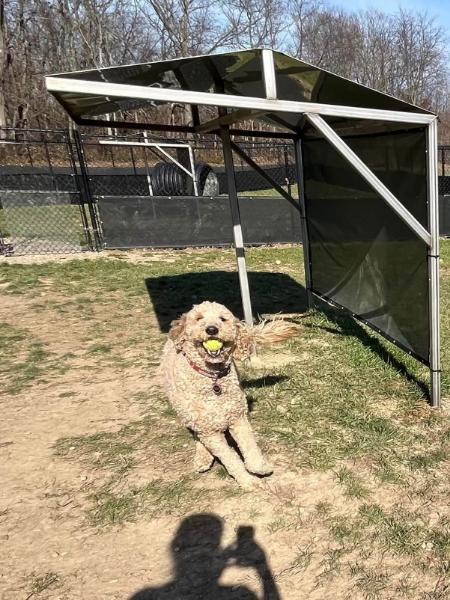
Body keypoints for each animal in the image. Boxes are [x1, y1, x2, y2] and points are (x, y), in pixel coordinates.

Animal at [159, 302, 298, 490]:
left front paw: (259, 466)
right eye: (199, 318)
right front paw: (247, 480)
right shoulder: (209, 432)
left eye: (223, 319)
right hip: (187, 414)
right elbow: (231, 459)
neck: (214, 379)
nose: (211, 329)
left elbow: (249, 445)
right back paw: (203, 457)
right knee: (197, 436)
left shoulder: (238, 417)